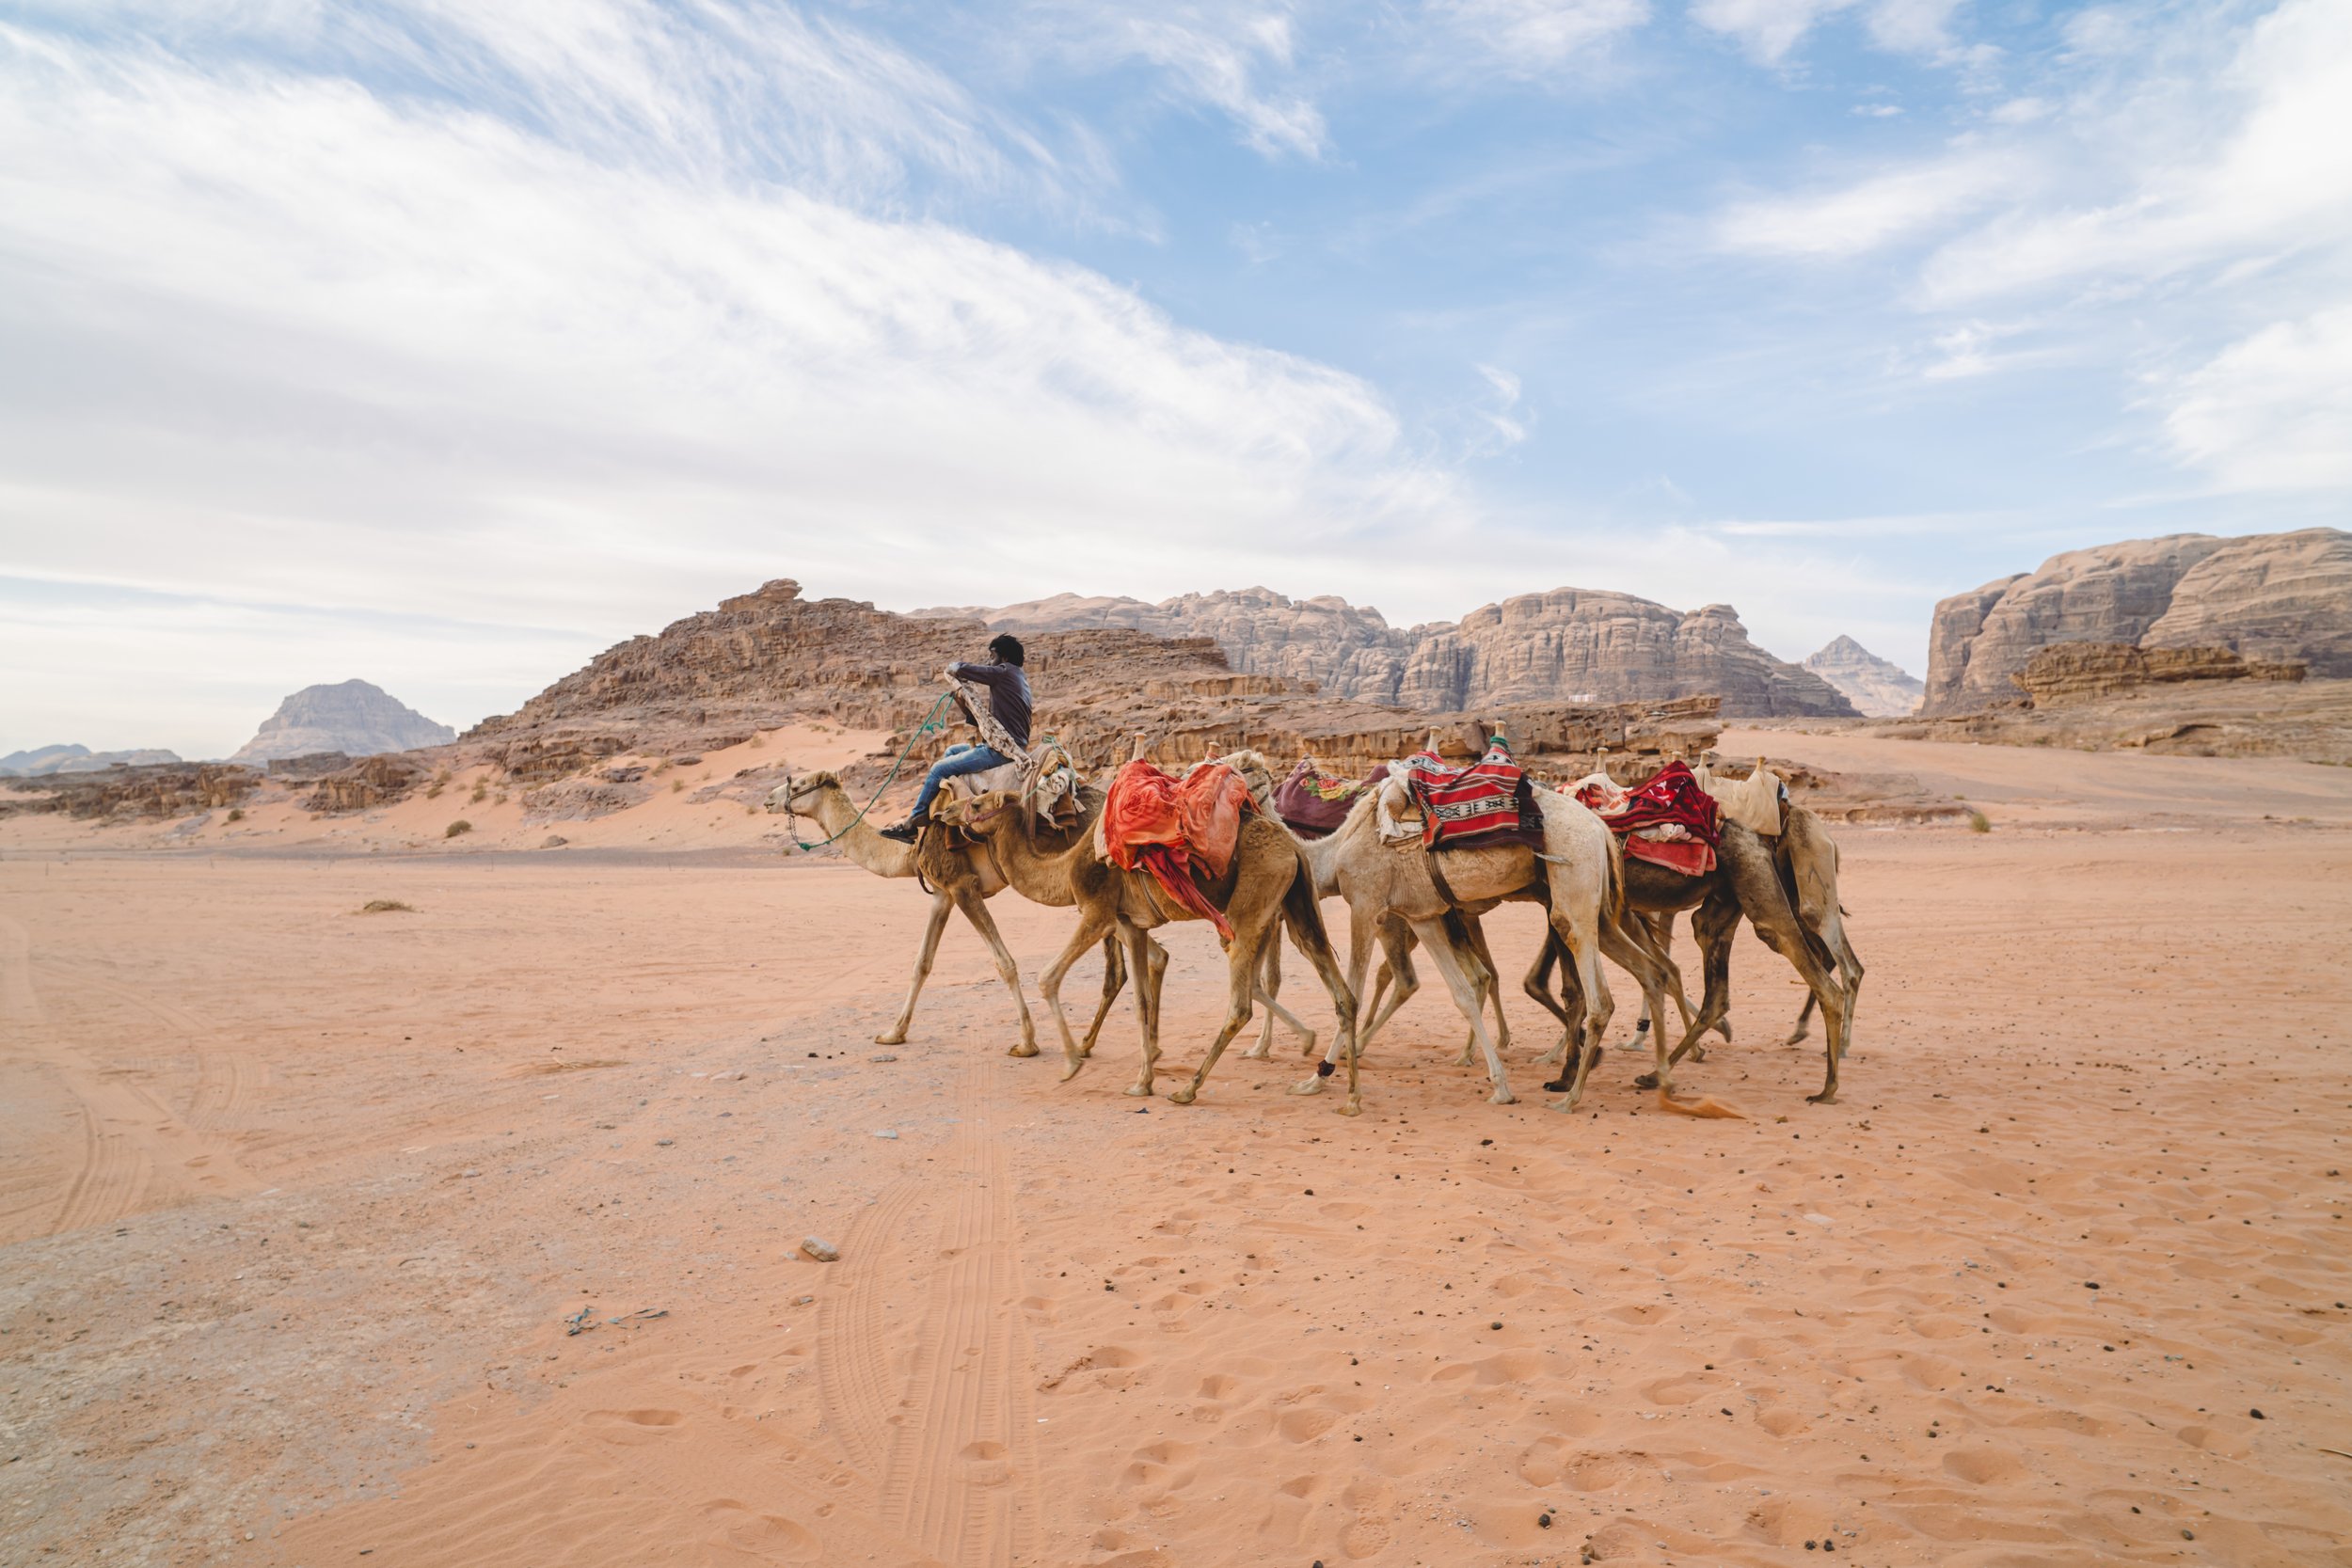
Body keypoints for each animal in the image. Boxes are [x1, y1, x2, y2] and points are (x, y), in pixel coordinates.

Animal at [763, 771, 1128, 1057]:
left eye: (799, 784)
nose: (768, 799)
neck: (910, 849)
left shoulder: (962, 885)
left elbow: (1005, 963)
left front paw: (1026, 1043)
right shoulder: (942, 894)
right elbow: (922, 963)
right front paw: (893, 1033)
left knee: (1113, 965)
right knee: (1117, 970)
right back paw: (1088, 1044)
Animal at [930, 775, 1363, 1113]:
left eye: (977, 802)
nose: (945, 812)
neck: (1064, 868)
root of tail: (1293, 847)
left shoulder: (1097, 911)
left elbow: (1049, 978)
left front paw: (1071, 1063)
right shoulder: (1130, 924)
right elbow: (1140, 1000)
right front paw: (1142, 1081)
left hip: (1248, 909)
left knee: (1241, 1004)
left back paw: (1189, 1089)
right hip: (1297, 904)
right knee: (1341, 991)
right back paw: (1345, 1097)